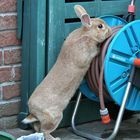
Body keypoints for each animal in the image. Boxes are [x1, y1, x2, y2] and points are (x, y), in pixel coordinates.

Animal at [21, 4, 111, 140]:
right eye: (100, 26)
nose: (110, 31)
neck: (87, 34)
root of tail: (33, 112)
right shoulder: (84, 54)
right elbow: (91, 54)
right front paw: (99, 49)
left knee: (38, 128)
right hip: (55, 117)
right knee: (44, 131)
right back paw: (55, 138)